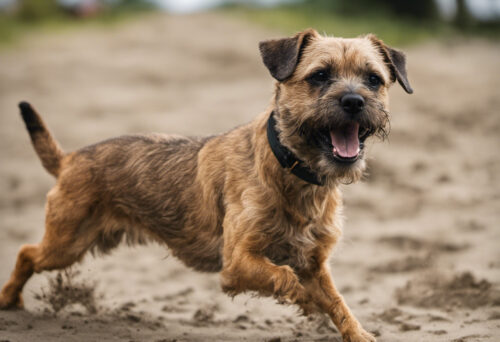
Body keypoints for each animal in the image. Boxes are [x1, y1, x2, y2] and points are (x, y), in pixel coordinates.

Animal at [0, 29, 412, 342]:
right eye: (320, 76)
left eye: (373, 79)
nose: (354, 100)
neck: (293, 172)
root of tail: (70, 159)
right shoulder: (238, 263)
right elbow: (285, 278)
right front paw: (307, 303)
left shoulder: (314, 264)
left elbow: (338, 302)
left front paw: (358, 334)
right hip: (66, 243)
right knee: (26, 252)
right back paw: (9, 298)